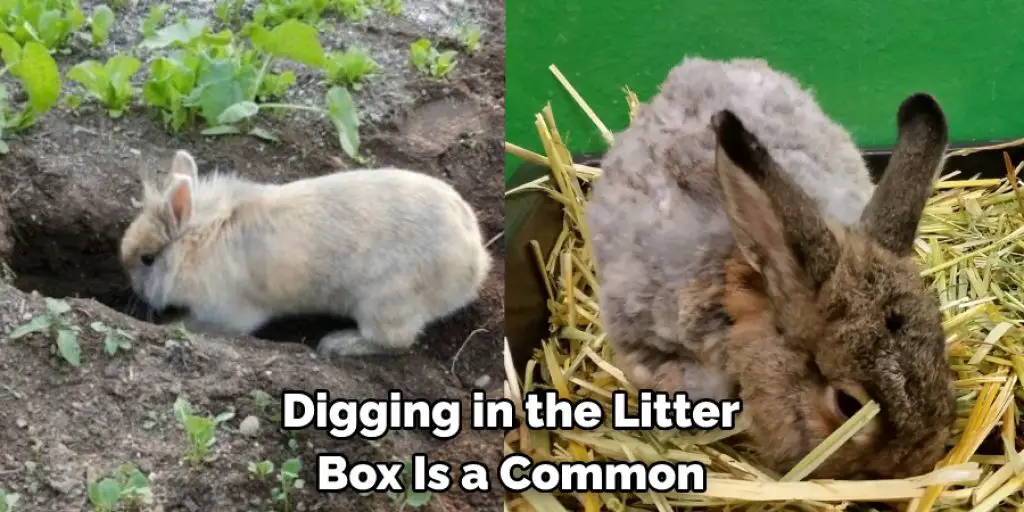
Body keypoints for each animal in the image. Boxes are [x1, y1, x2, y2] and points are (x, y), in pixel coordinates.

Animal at [119, 149, 491, 358]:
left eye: (147, 258)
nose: (133, 287)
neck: (200, 237)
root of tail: (475, 264)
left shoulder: (229, 314)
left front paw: (172, 324)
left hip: (385, 304)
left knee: (394, 342)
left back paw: (336, 344)